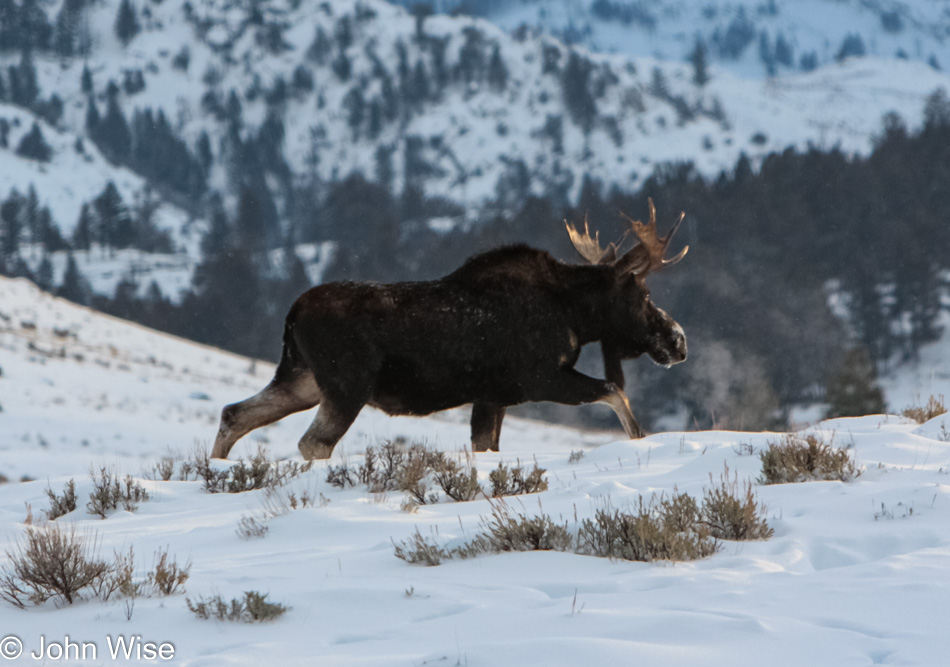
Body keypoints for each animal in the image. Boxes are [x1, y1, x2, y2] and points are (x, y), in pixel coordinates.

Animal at [212, 198, 692, 460]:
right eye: (643, 293)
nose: (679, 340)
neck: (575, 314)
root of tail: (291, 314)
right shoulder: (539, 379)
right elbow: (616, 392)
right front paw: (642, 445)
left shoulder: (493, 396)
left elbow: (486, 447)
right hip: (347, 385)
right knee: (312, 442)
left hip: (302, 379)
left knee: (235, 413)